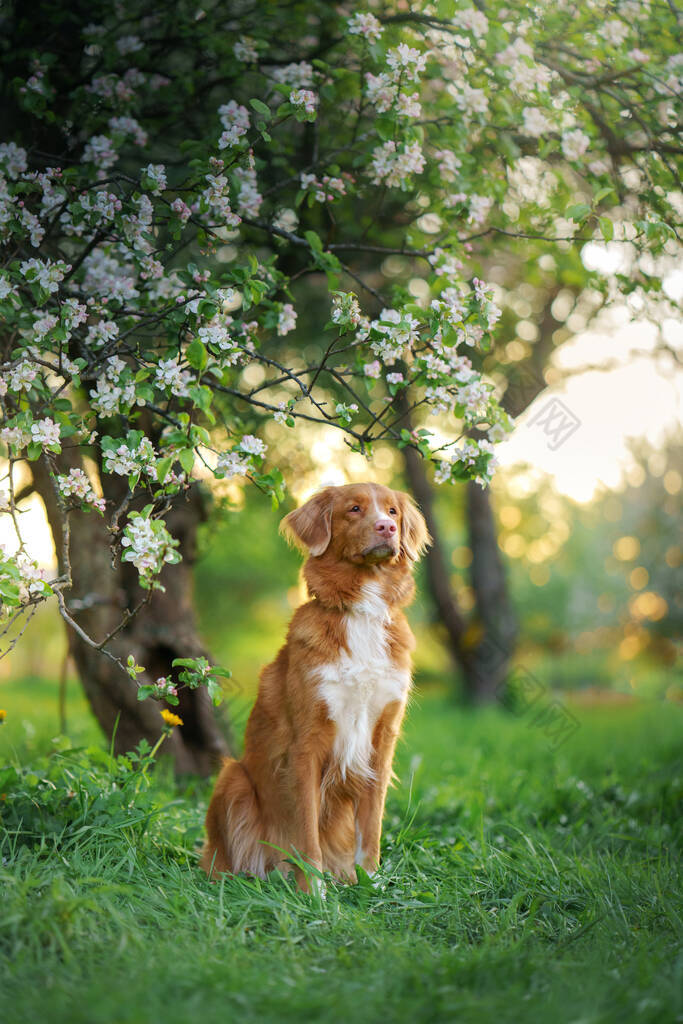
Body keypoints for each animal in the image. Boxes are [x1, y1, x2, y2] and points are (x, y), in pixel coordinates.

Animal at [200, 479, 430, 888]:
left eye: (393, 512)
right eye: (354, 509)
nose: (386, 528)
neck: (362, 610)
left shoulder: (381, 741)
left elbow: (371, 829)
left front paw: (370, 884)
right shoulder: (306, 743)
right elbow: (307, 833)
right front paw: (313, 893)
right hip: (232, 777)